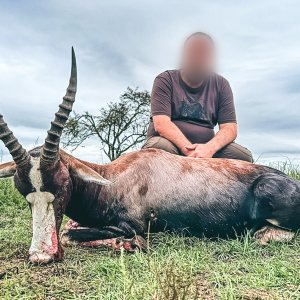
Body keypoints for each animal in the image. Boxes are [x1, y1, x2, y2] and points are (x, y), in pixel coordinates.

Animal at [0, 48, 298, 262]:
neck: (115, 178)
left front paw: (129, 244)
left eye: (62, 186)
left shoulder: (132, 225)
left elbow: (71, 233)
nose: (42, 255)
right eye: (23, 192)